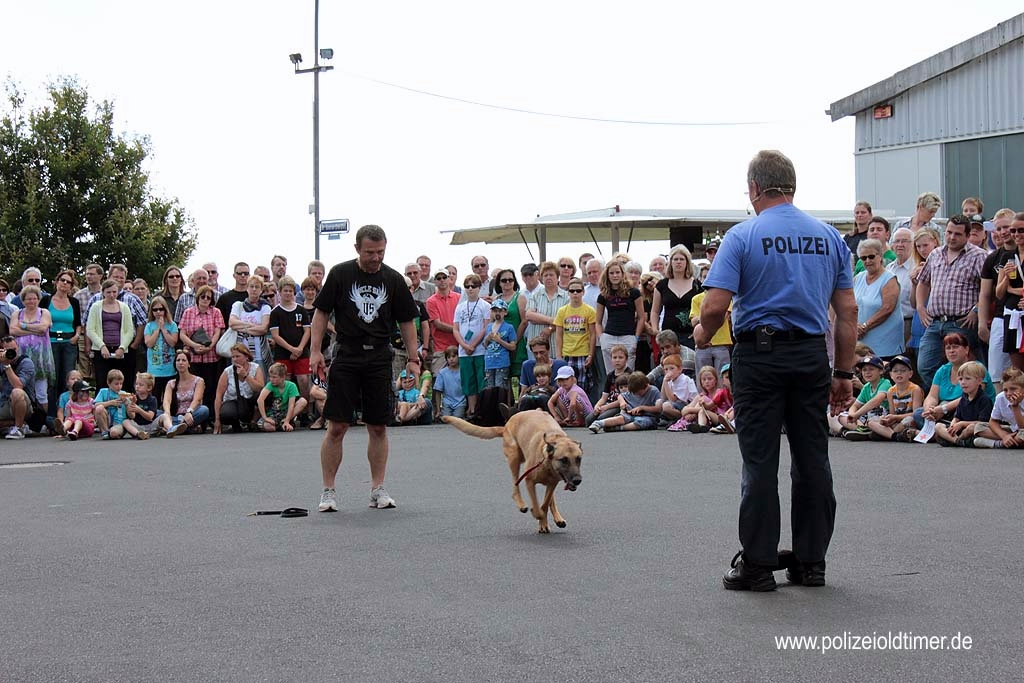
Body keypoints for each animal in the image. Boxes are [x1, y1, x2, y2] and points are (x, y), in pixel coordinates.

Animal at [442, 411, 585, 532]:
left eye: (579, 459)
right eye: (564, 460)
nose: (577, 480)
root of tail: (506, 424)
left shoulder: (552, 483)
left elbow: (545, 504)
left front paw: (543, 521)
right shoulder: (529, 481)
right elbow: (537, 506)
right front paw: (537, 514)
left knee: (549, 500)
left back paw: (557, 518)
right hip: (514, 457)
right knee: (515, 488)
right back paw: (522, 504)